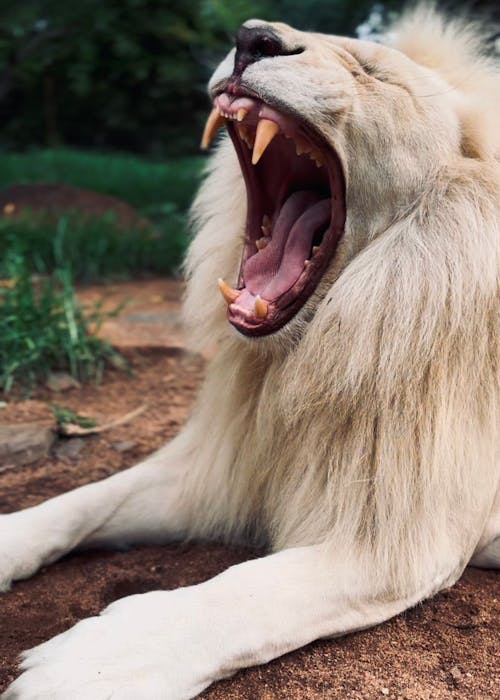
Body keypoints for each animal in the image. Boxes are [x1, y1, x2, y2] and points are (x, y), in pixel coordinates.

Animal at [1, 5, 499, 699]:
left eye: (371, 73)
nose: (251, 38)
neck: (302, 359)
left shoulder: (402, 545)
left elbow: (249, 593)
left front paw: (92, 667)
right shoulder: (215, 472)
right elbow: (81, 502)